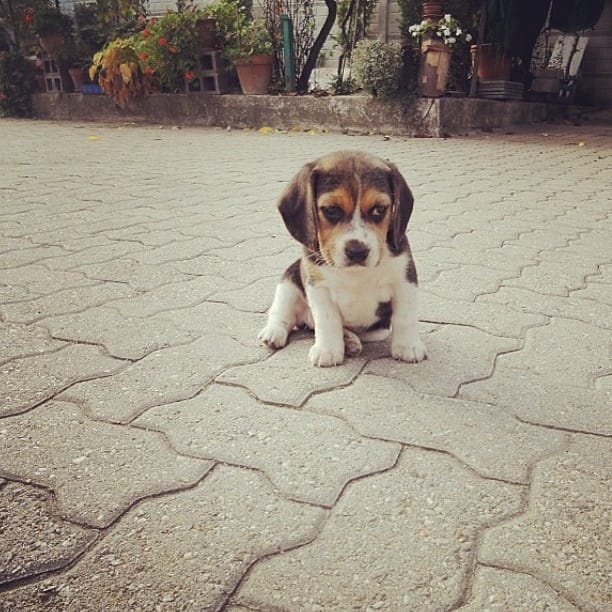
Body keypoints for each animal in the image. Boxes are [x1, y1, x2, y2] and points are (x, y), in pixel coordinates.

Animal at [258, 150, 427, 367]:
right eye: (331, 210)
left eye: (379, 209)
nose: (357, 251)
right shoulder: (318, 286)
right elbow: (328, 321)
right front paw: (328, 350)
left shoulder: (404, 280)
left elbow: (405, 317)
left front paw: (407, 346)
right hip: (290, 280)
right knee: (282, 313)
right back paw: (274, 332)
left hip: (377, 332)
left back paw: (350, 341)